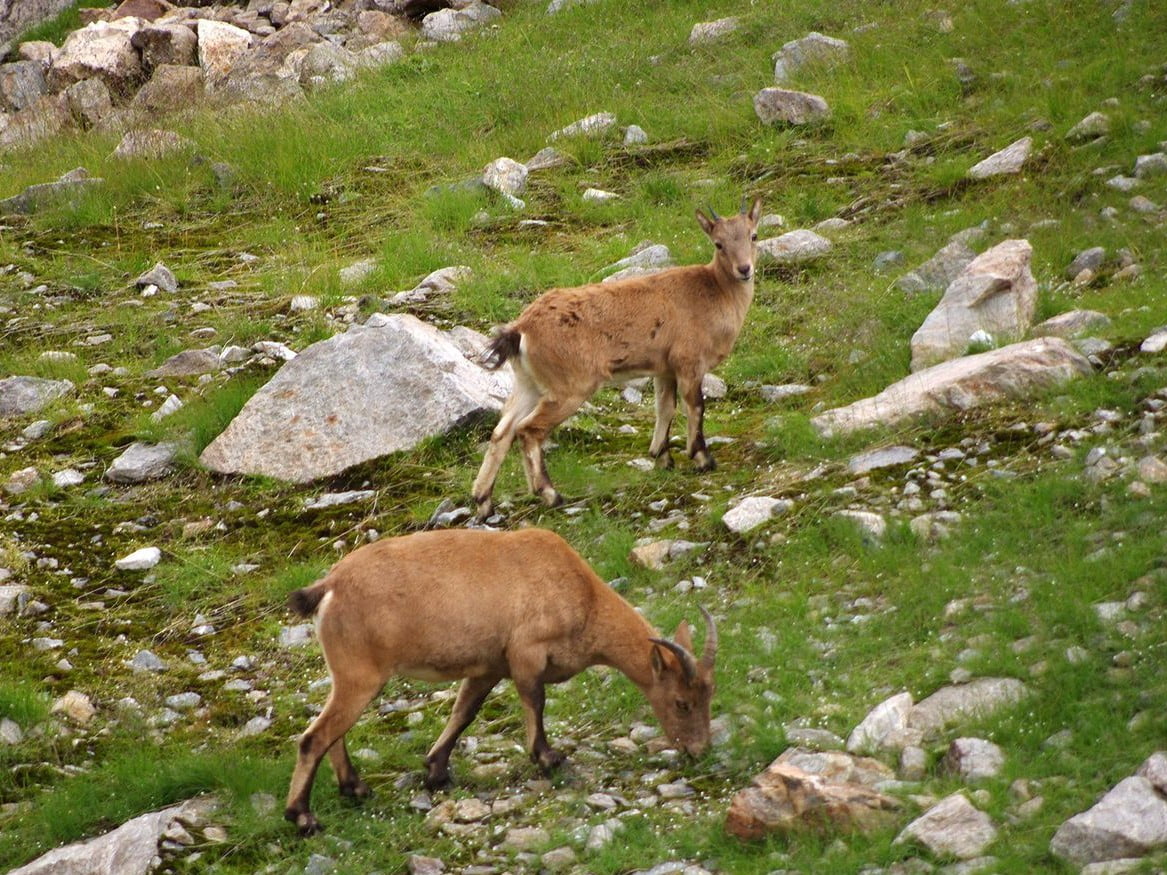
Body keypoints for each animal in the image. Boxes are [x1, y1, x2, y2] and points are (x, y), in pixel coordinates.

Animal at [285, 527, 714, 835]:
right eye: (682, 702)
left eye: (710, 696)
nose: (700, 750)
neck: (580, 592)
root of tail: (329, 587)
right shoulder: (527, 653)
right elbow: (535, 701)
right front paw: (548, 758)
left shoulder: (488, 667)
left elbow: (465, 712)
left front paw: (436, 771)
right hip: (362, 675)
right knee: (313, 738)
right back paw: (304, 818)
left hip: (349, 675)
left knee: (333, 731)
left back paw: (354, 788)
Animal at [473, 197, 765, 520]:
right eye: (718, 243)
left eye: (753, 235)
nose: (744, 269)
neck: (713, 293)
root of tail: (521, 330)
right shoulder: (689, 362)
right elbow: (695, 407)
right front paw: (702, 459)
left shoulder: (664, 369)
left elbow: (665, 408)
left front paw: (661, 457)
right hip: (570, 387)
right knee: (528, 430)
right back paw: (550, 495)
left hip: (529, 383)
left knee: (502, 431)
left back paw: (483, 501)